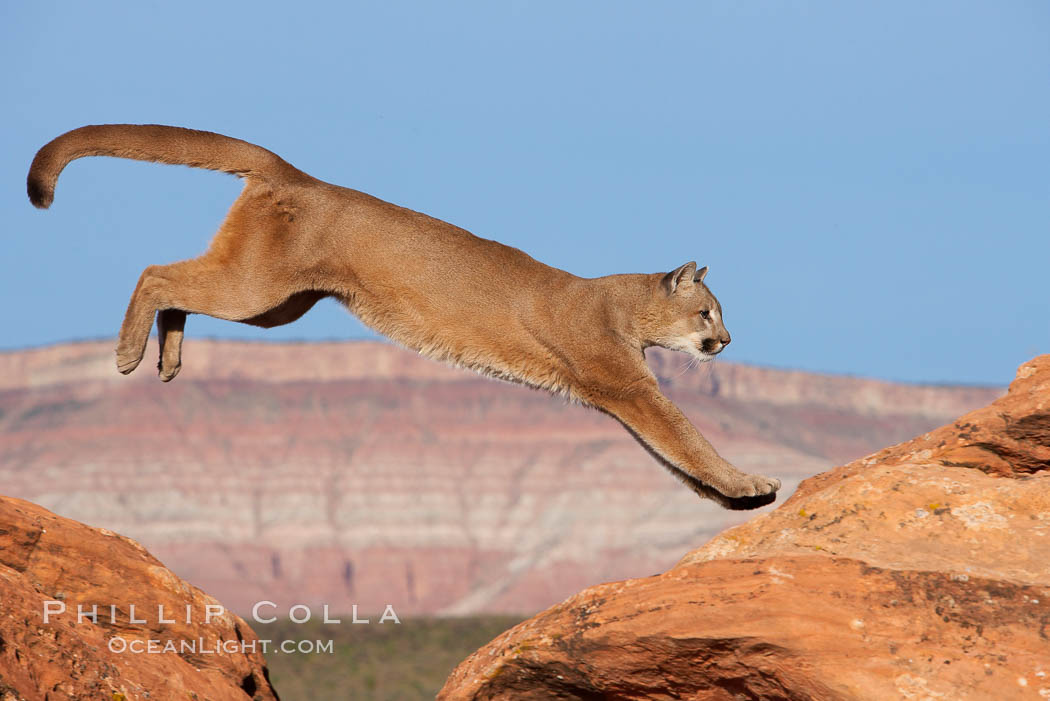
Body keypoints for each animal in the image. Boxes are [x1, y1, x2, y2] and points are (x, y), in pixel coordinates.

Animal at [28, 124, 781, 510]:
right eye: (708, 311)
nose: (727, 339)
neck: (622, 306)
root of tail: (296, 173)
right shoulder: (628, 387)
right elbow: (686, 437)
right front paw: (748, 481)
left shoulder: (619, 397)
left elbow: (675, 459)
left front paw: (734, 498)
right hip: (255, 289)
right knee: (155, 272)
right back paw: (130, 353)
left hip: (275, 306)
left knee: (177, 283)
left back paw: (169, 358)